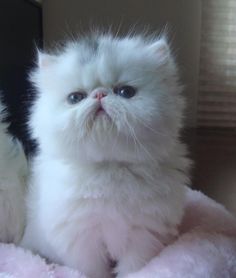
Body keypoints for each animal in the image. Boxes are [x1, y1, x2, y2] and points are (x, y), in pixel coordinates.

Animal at [21, 34, 190, 278]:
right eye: (75, 97)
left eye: (125, 92)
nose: (100, 94)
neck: (109, 167)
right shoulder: (83, 241)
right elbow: (93, 271)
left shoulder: (143, 237)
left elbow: (132, 269)